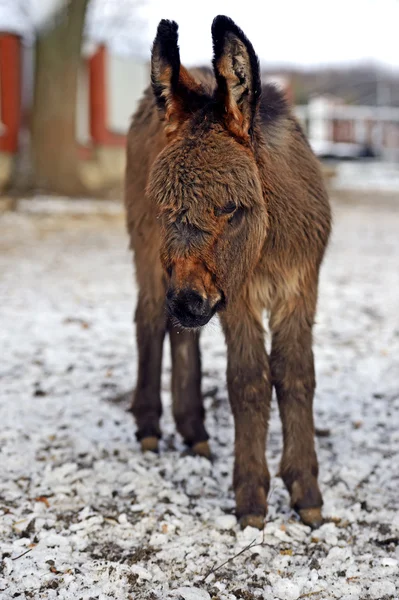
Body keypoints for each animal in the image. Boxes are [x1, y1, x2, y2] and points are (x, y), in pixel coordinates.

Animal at [124, 15, 332, 528]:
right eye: (165, 207)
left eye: (230, 208)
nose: (187, 301)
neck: (271, 240)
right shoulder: (237, 294)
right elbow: (250, 380)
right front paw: (252, 500)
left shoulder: (300, 288)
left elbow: (297, 375)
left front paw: (307, 492)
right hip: (149, 254)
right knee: (150, 319)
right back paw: (150, 425)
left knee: (179, 332)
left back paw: (195, 431)